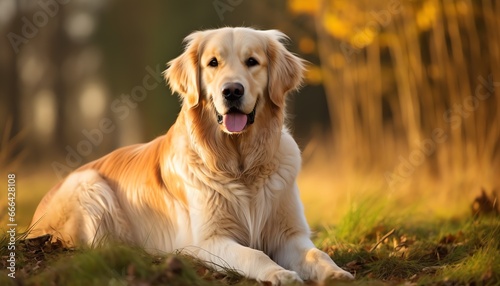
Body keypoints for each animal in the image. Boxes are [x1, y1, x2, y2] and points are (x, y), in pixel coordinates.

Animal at [29, 26, 354, 284]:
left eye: (252, 62)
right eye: (213, 63)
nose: (232, 91)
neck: (240, 165)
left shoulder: (290, 234)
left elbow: (317, 254)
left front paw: (336, 273)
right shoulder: (208, 240)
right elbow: (255, 255)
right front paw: (279, 273)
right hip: (90, 185)